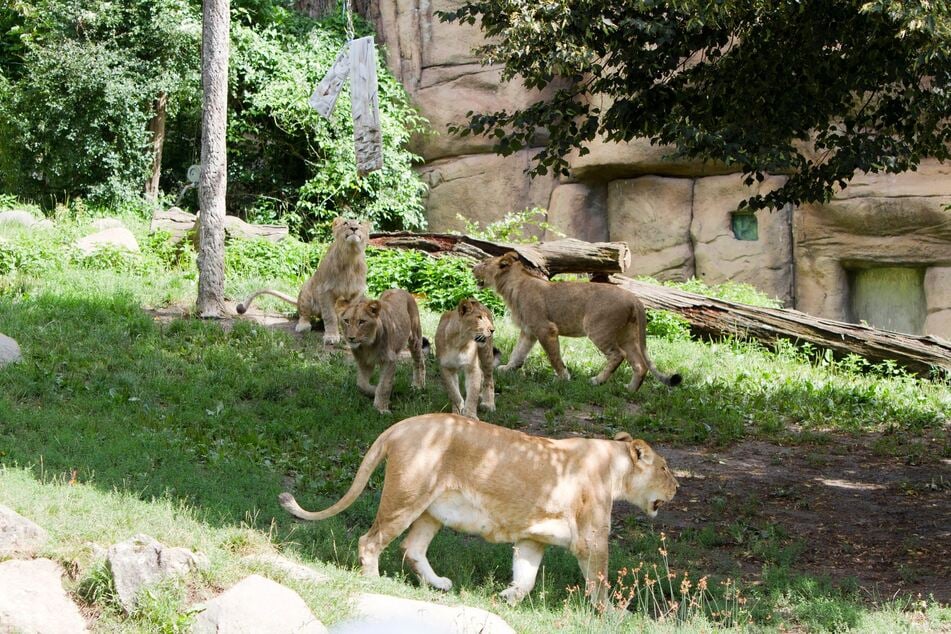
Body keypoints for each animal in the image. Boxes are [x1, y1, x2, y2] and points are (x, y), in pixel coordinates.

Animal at [236, 216, 370, 344]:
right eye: (345, 223)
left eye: (360, 223)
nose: (354, 228)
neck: (350, 257)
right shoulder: (325, 290)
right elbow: (330, 316)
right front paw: (331, 337)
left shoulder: (356, 294)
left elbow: (350, 316)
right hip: (307, 290)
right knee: (304, 314)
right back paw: (303, 326)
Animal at [278, 412, 680, 604]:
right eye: (665, 468)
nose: (678, 486)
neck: (614, 467)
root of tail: (400, 426)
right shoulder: (592, 539)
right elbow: (599, 582)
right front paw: (609, 613)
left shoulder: (533, 538)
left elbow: (526, 578)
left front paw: (507, 598)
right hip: (406, 497)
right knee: (370, 540)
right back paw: (374, 582)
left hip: (430, 510)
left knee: (412, 549)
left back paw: (439, 584)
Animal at [472, 252, 680, 390]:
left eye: (484, 262)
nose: (472, 267)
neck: (513, 285)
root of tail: (635, 298)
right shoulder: (528, 331)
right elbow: (518, 353)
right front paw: (507, 369)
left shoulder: (546, 329)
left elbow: (554, 356)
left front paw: (563, 377)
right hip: (626, 336)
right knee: (640, 365)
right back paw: (630, 390)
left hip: (598, 329)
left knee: (617, 355)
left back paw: (597, 380)